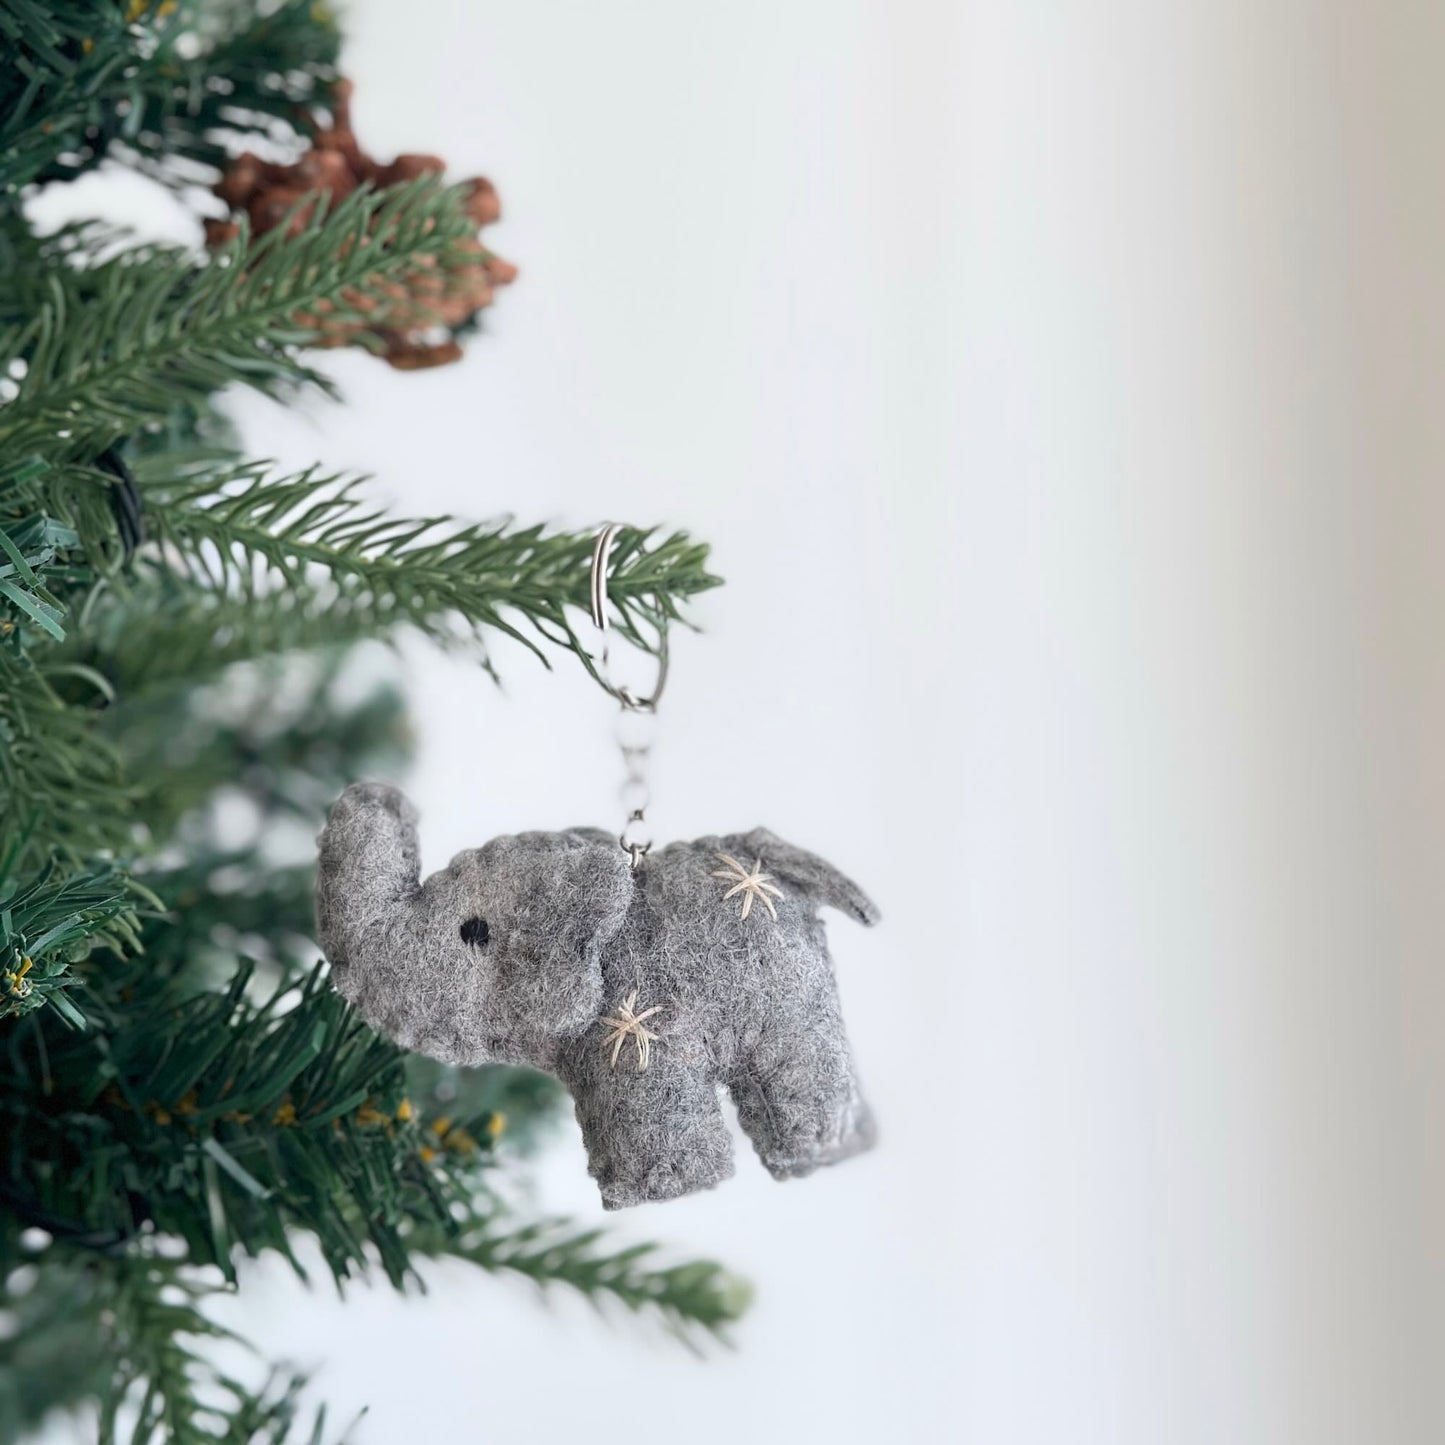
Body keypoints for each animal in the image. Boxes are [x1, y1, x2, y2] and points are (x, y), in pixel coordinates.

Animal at [315, 781, 880, 1208]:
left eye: (472, 930)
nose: (388, 796)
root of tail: (761, 859)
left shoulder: (633, 1029)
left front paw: (667, 1191)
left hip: (789, 993)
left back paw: (819, 1149)